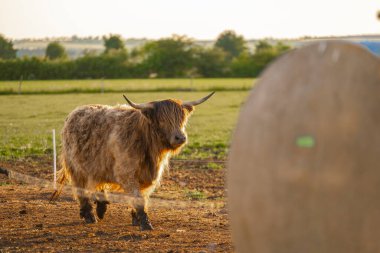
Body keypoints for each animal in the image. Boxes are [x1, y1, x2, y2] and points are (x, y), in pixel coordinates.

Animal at [52, 92, 215, 230]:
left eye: (182, 118)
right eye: (162, 120)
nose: (180, 137)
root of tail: (74, 113)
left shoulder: (148, 177)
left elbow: (142, 197)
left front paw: (136, 218)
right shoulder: (127, 173)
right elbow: (138, 198)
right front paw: (145, 223)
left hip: (99, 165)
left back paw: (101, 207)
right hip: (77, 168)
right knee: (80, 189)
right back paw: (89, 215)